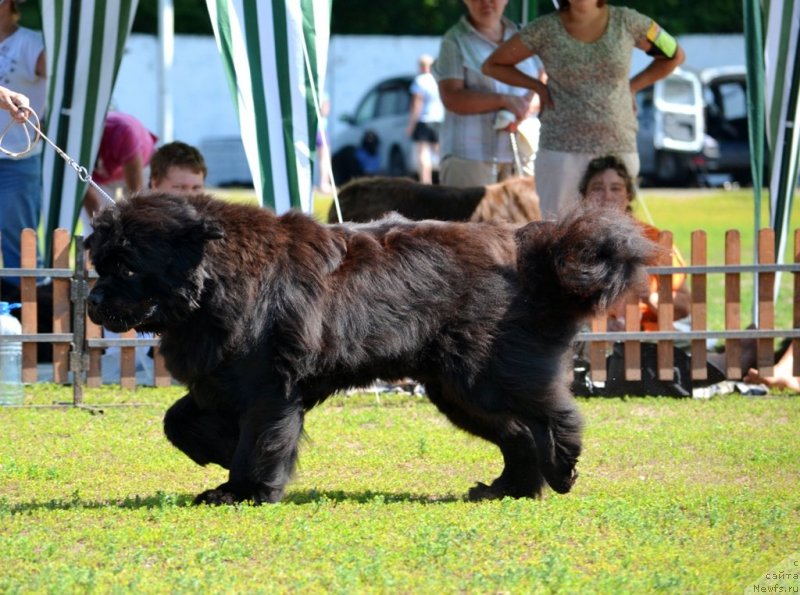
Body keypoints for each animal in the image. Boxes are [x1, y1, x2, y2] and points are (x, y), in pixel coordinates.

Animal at [84, 193, 652, 506]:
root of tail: (528, 248)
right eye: (100, 263)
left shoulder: (269, 387)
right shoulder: (219, 381)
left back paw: (562, 467)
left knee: (553, 414)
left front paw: (243, 491)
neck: (217, 281)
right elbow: (177, 421)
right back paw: (506, 487)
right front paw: (219, 454)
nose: (91, 300)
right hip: (455, 391)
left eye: (127, 267)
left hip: (481, 375)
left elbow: (261, 441)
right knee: (517, 433)